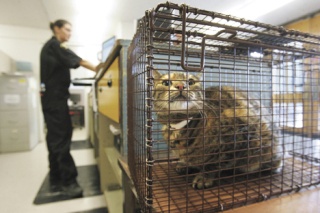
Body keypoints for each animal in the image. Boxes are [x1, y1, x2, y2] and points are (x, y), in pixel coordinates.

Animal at [151, 70, 282, 190]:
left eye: (191, 82)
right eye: (166, 82)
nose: (180, 86)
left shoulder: (238, 136)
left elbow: (214, 163)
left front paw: (204, 177)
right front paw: (184, 164)